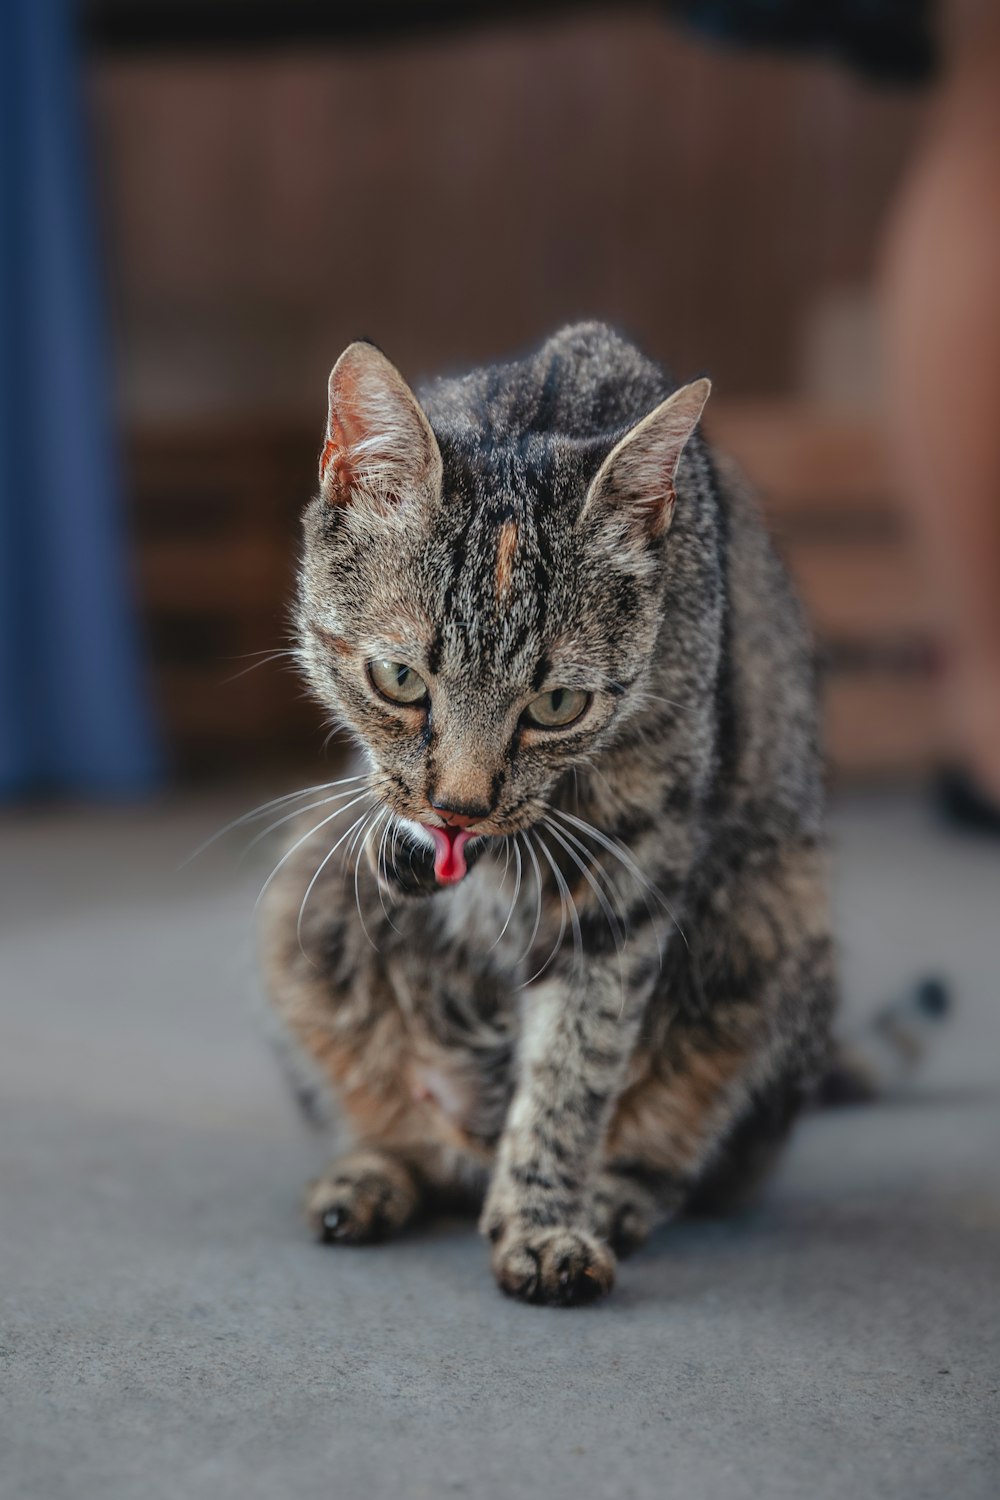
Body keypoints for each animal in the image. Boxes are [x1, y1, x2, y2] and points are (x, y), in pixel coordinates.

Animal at [257, 325, 839, 1302]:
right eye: (400, 679)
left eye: (558, 705)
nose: (459, 809)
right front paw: (408, 839)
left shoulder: (625, 878)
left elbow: (575, 1063)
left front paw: (542, 1222)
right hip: (302, 894)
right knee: (407, 1135)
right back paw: (368, 1175)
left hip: (778, 911)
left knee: (680, 1152)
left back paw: (610, 1197)